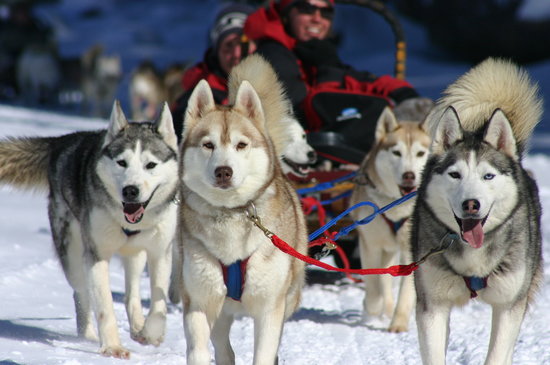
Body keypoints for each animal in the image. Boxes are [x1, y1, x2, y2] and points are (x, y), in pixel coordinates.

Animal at [0, 101, 179, 356]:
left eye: (150, 165)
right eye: (122, 162)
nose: (130, 190)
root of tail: (63, 142)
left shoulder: (159, 252)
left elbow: (158, 305)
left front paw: (151, 333)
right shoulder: (96, 255)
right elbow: (104, 306)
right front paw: (112, 346)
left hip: (135, 256)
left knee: (131, 293)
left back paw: (137, 326)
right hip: (73, 258)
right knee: (81, 293)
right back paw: (88, 336)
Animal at [176, 54, 308, 364]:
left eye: (241, 145)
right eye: (208, 144)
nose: (224, 171)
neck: (231, 216)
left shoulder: (270, 310)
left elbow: (264, 354)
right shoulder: (198, 301)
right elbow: (199, 350)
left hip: (288, 298)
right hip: (219, 308)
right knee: (224, 347)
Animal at [352, 103, 434, 332]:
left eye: (420, 153)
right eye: (396, 152)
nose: (409, 175)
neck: (396, 206)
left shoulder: (411, 252)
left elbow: (406, 293)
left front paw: (398, 323)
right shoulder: (370, 244)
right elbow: (373, 287)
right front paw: (373, 307)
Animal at [412, 58, 544, 362]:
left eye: (488, 176)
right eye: (455, 174)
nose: (471, 204)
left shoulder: (509, 306)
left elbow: (497, 355)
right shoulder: (432, 305)